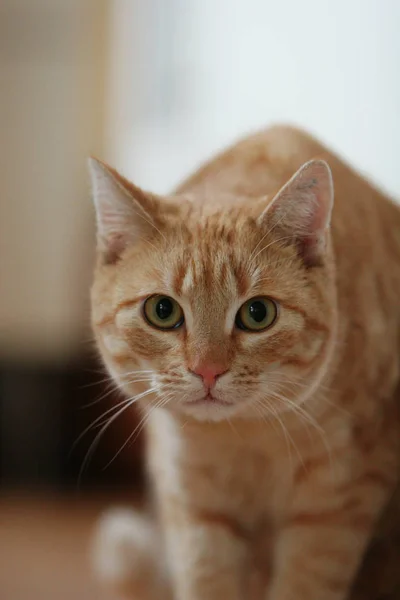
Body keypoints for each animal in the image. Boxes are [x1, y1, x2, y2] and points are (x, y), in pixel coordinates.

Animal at [89, 126, 400, 600]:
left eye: (258, 314)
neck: (245, 439)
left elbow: (304, 583)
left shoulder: (335, 507)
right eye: (162, 310)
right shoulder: (193, 506)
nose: (207, 370)